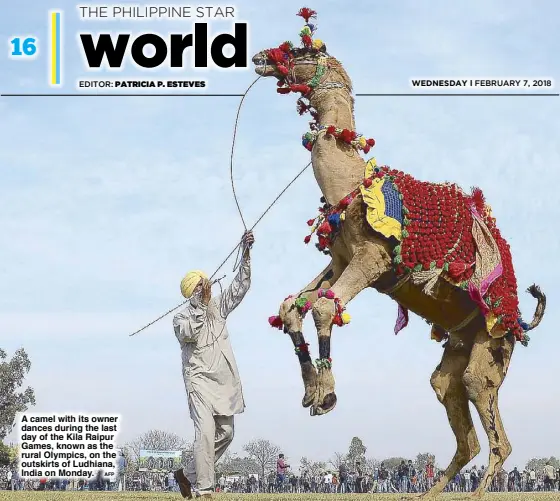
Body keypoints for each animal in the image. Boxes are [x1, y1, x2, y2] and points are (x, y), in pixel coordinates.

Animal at [252, 7, 544, 500]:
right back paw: (426, 492)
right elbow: (293, 305)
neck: (354, 185)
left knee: (496, 436)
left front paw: (327, 394)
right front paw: (311, 391)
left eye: (303, 50)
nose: (258, 58)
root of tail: (520, 320)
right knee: (455, 410)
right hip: (459, 350)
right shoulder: (339, 260)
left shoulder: (372, 260)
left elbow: (325, 308)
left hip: (492, 349)